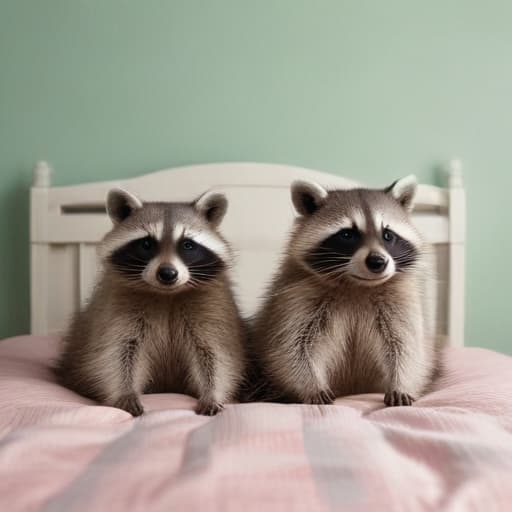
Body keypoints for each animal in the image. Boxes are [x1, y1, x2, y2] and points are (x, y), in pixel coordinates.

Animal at [55, 188, 245, 416]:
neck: (167, 294)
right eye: (146, 244)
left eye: (188, 245)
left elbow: (214, 354)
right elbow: (118, 353)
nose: (168, 274)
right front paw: (125, 392)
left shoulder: (212, 309)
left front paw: (212, 392)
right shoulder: (118, 308)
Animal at [252, 176, 436, 408]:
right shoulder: (298, 297)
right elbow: (292, 348)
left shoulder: (399, 302)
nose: (378, 262)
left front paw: (401, 383)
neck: (357, 285)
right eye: (347, 234)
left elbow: (406, 347)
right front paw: (311, 385)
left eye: (387, 235)